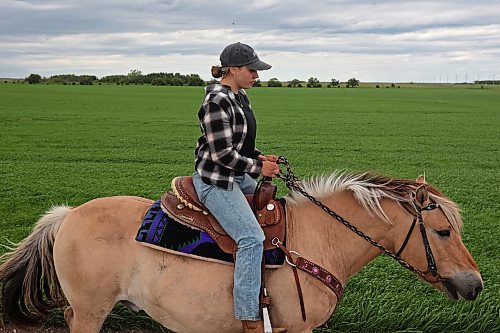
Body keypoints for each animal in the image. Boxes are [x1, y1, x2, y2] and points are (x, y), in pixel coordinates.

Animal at [0, 171, 484, 332]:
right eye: (443, 231)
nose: (476, 285)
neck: (319, 239)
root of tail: (67, 215)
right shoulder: (296, 327)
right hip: (91, 310)